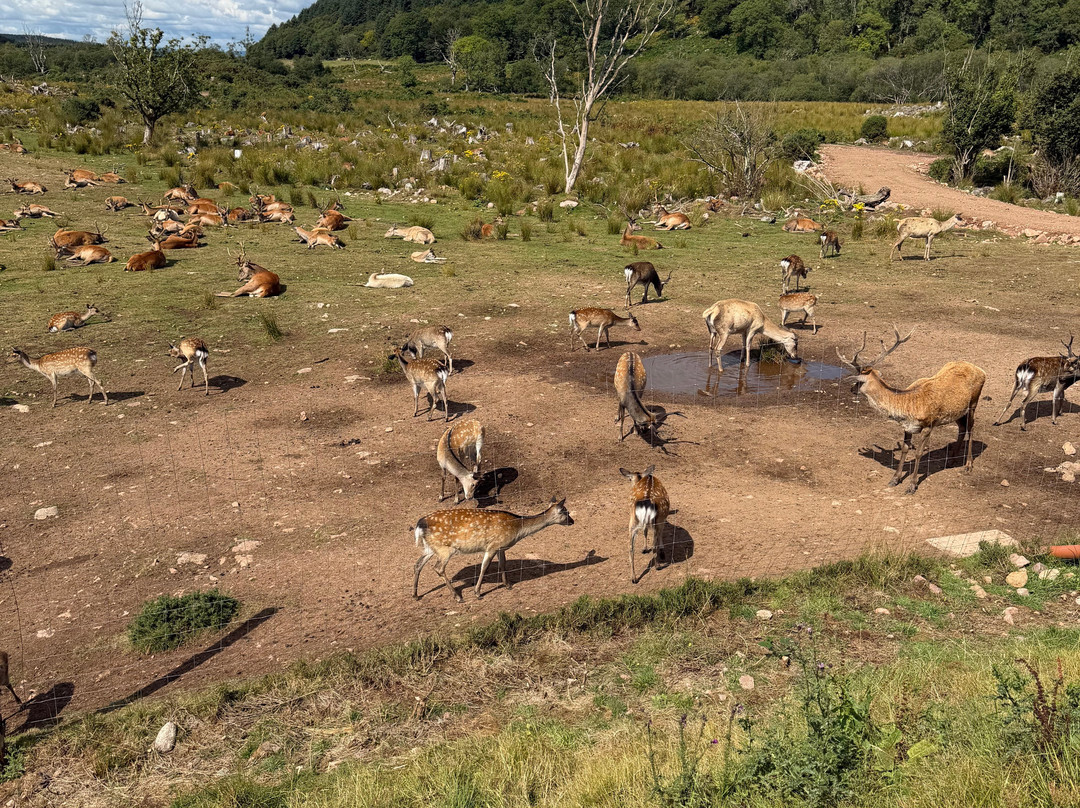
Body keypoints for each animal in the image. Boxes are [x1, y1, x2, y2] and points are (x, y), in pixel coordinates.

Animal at [412, 499, 573, 602]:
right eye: (565, 511)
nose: (572, 521)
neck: (517, 529)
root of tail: (419, 524)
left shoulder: (501, 547)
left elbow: (503, 564)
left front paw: (508, 585)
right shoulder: (492, 546)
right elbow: (484, 567)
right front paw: (477, 593)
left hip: (430, 548)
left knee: (417, 564)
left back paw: (415, 595)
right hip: (445, 549)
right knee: (438, 568)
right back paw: (458, 597)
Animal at [837, 327, 986, 494]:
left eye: (858, 382)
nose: (851, 389)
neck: (908, 406)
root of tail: (981, 370)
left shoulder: (929, 424)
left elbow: (919, 453)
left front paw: (912, 486)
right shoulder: (907, 427)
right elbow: (905, 449)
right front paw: (894, 479)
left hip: (974, 402)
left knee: (971, 428)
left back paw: (968, 465)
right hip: (957, 412)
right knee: (962, 428)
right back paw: (951, 460)